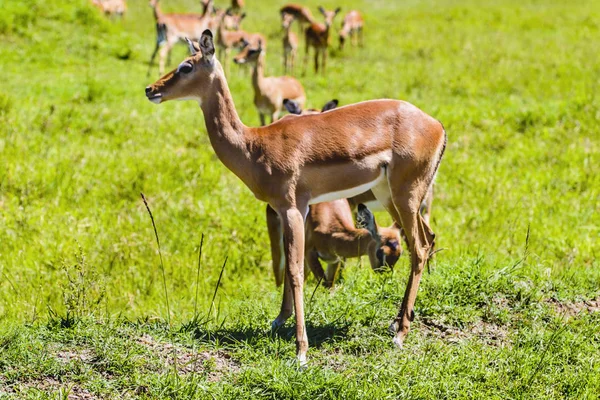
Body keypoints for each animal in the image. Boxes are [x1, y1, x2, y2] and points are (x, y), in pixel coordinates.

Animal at [144, 30, 446, 362]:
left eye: (186, 66)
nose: (150, 89)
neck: (254, 145)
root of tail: (437, 125)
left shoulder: (291, 208)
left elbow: (295, 269)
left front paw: (301, 350)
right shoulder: (291, 210)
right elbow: (291, 264)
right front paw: (280, 319)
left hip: (405, 194)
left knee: (419, 247)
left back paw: (400, 334)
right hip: (391, 195)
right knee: (429, 237)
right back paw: (398, 321)